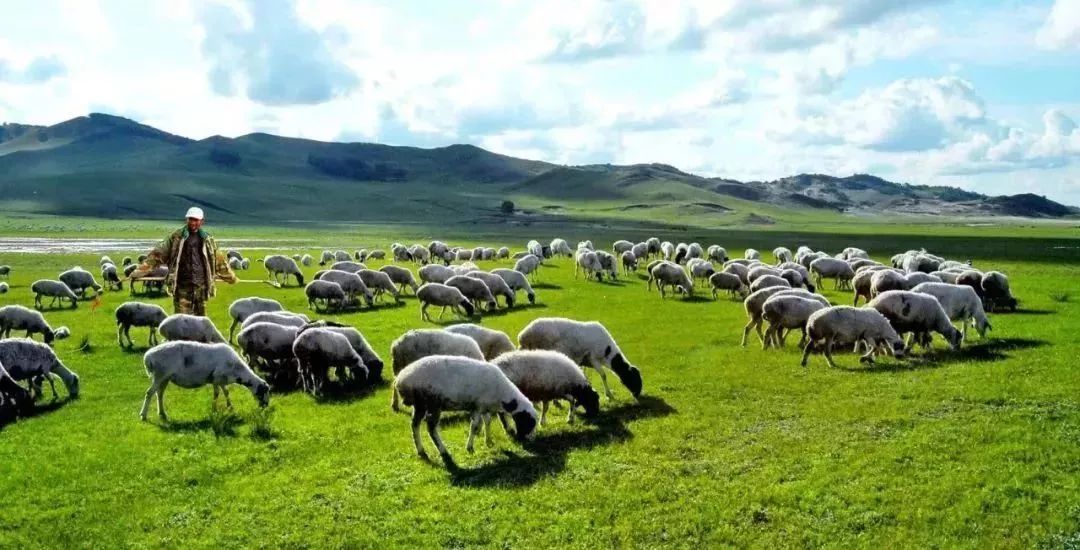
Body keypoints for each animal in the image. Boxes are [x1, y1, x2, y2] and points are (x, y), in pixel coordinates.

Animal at [138, 339, 268, 419]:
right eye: (264, 392)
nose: (265, 406)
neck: (237, 369)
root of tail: (147, 357)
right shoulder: (216, 378)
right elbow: (217, 393)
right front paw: (214, 410)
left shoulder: (221, 380)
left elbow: (226, 392)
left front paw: (230, 407)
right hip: (159, 375)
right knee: (149, 393)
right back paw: (143, 415)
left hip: (165, 378)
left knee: (159, 394)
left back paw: (162, 413)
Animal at [395, 354, 537, 460]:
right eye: (528, 422)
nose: (528, 440)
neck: (502, 394)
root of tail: (401, 379)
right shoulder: (477, 407)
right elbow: (474, 427)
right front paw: (470, 448)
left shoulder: (484, 407)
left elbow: (487, 422)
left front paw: (488, 442)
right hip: (433, 404)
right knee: (431, 429)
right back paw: (443, 451)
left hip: (420, 405)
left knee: (415, 425)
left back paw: (421, 451)